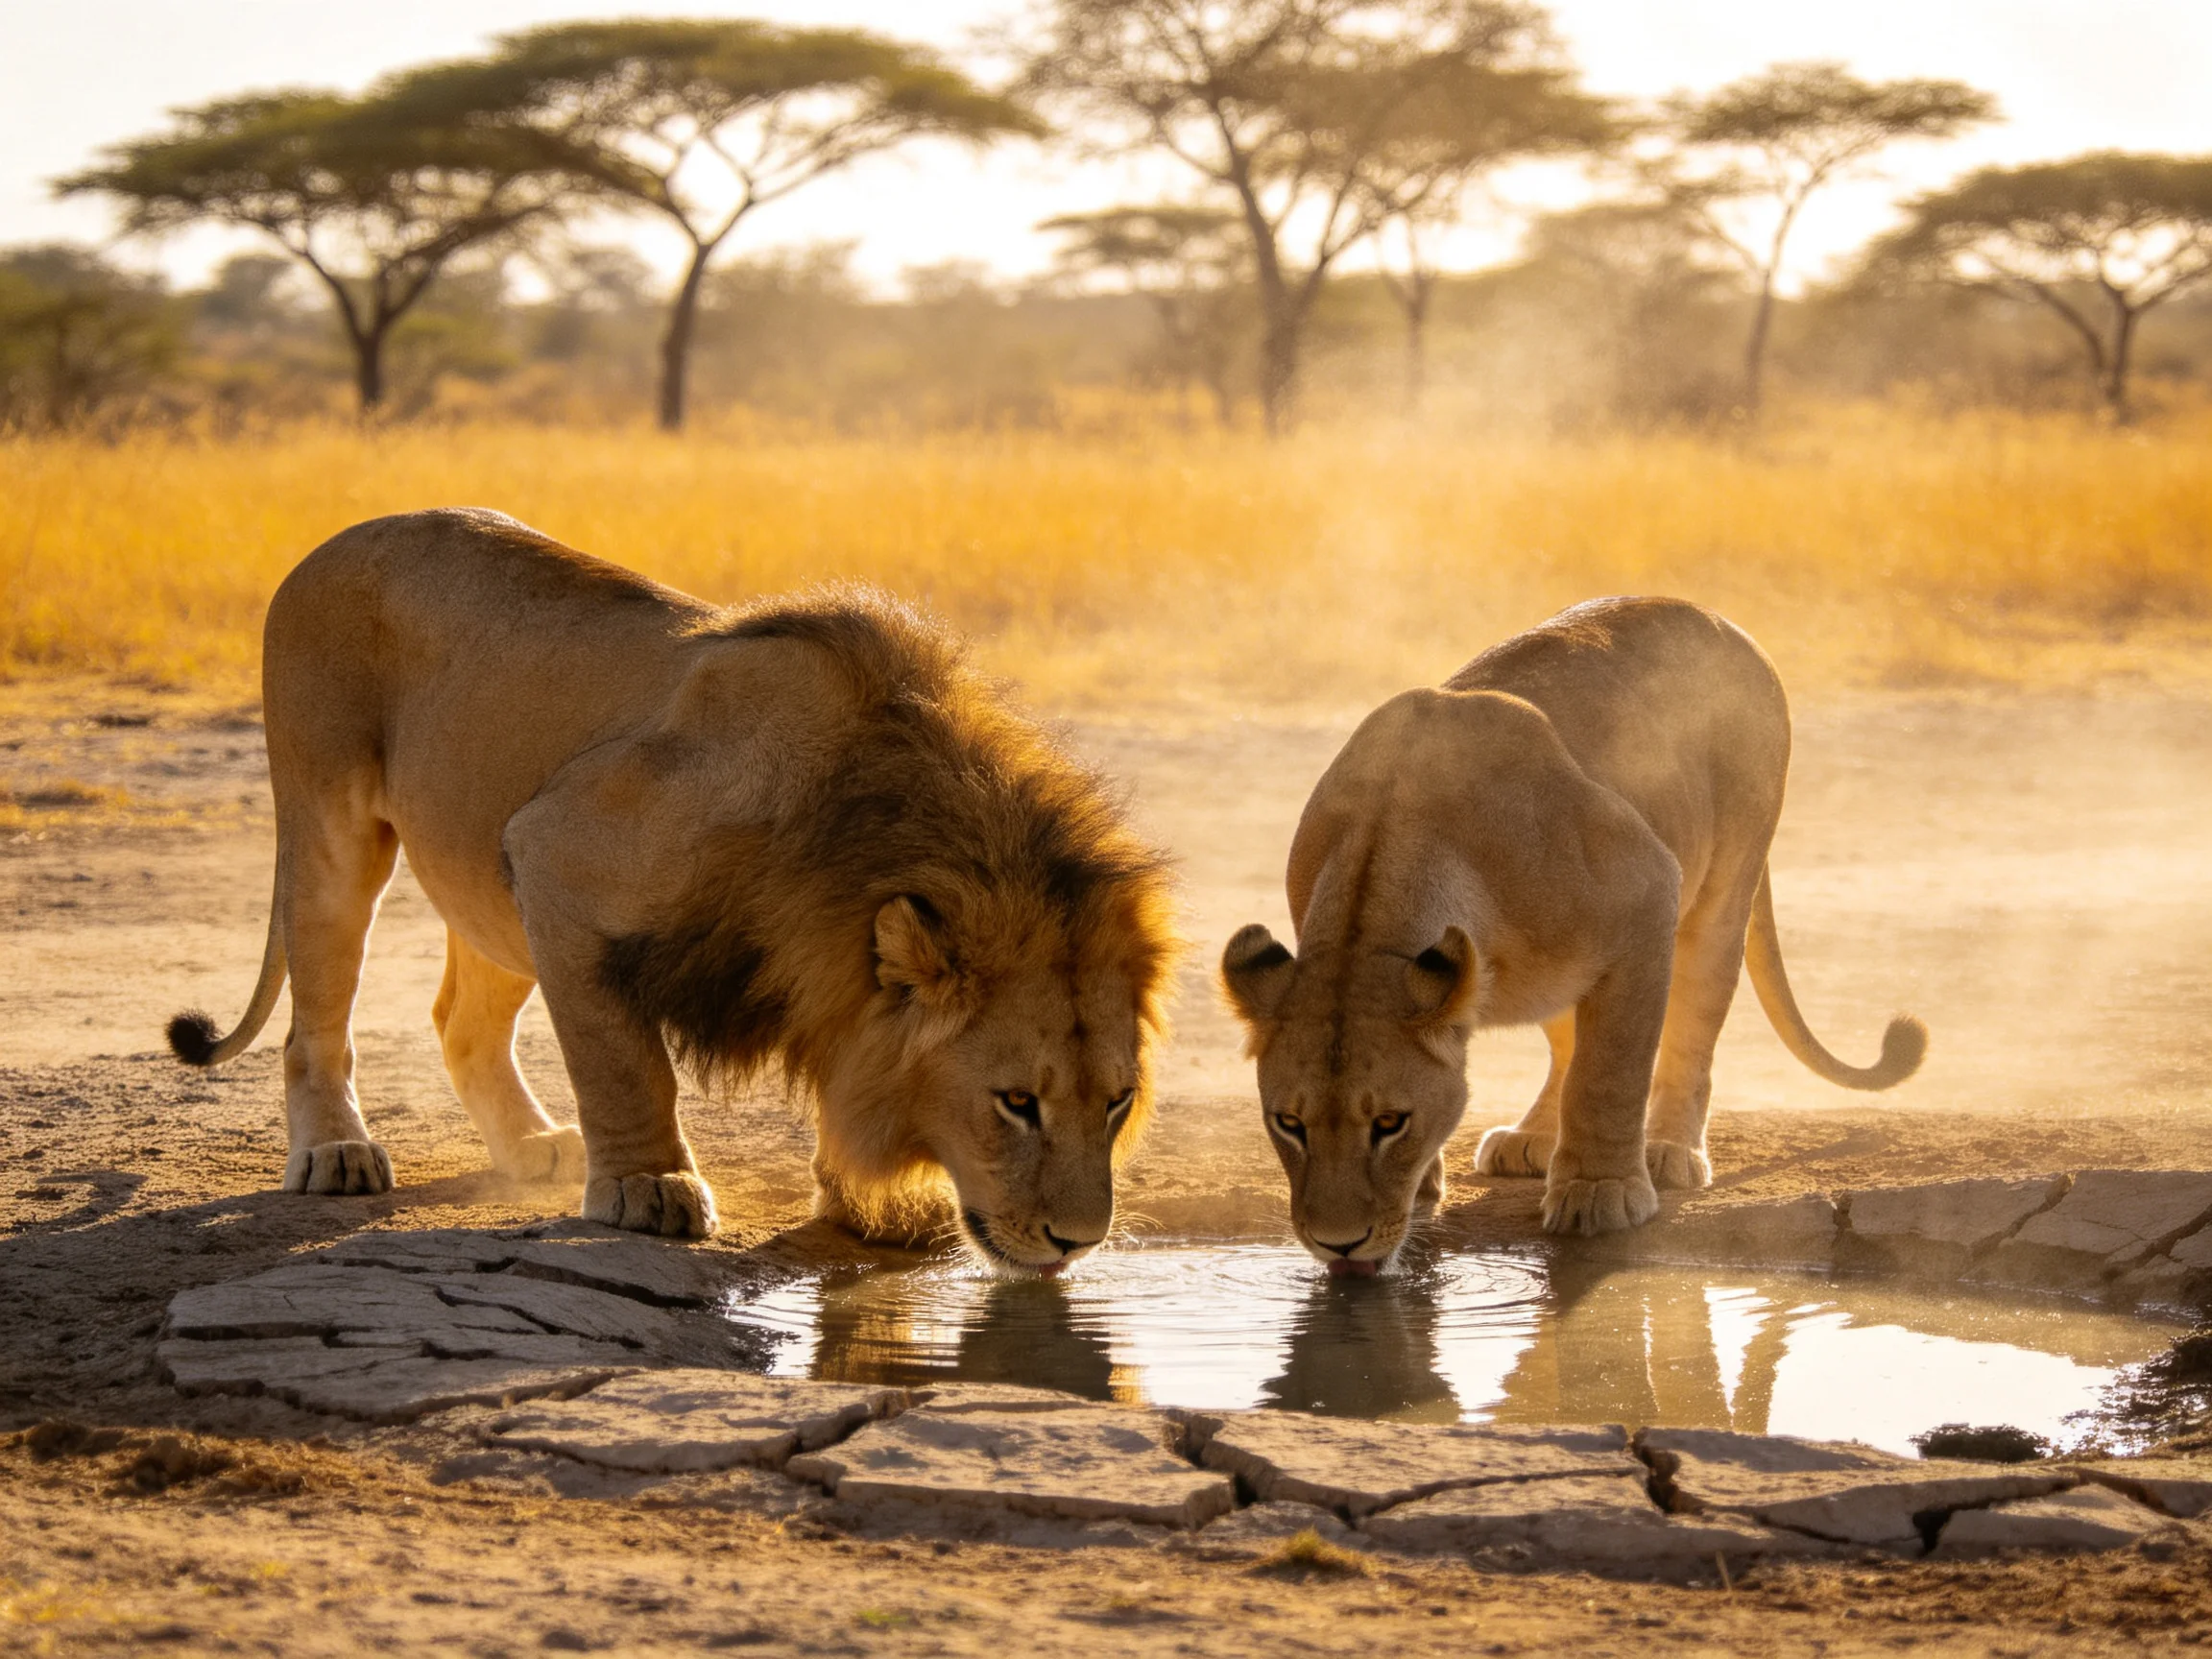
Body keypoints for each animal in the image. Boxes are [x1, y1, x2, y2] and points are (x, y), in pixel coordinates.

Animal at [167, 509, 1176, 1270]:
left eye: (1117, 1101)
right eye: (1016, 1103)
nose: (1079, 1243)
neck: (855, 819)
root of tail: (337, 537)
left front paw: (873, 1208)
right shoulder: (556, 850)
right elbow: (625, 1063)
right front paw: (646, 1186)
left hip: (493, 890)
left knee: (461, 1020)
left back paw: (530, 1145)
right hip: (335, 828)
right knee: (315, 1020)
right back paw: (337, 1151)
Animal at [1221, 596, 1924, 1261]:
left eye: (1391, 1122)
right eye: (1289, 1123)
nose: (1338, 1244)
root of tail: (1721, 619)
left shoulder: (1647, 890)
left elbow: (1609, 1071)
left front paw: (1600, 1192)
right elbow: (1580, 1057)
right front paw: (1426, 1186)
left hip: (1724, 886)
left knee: (1692, 1026)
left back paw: (1669, 1151)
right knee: (1566, 1039)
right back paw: (1530, 1138)